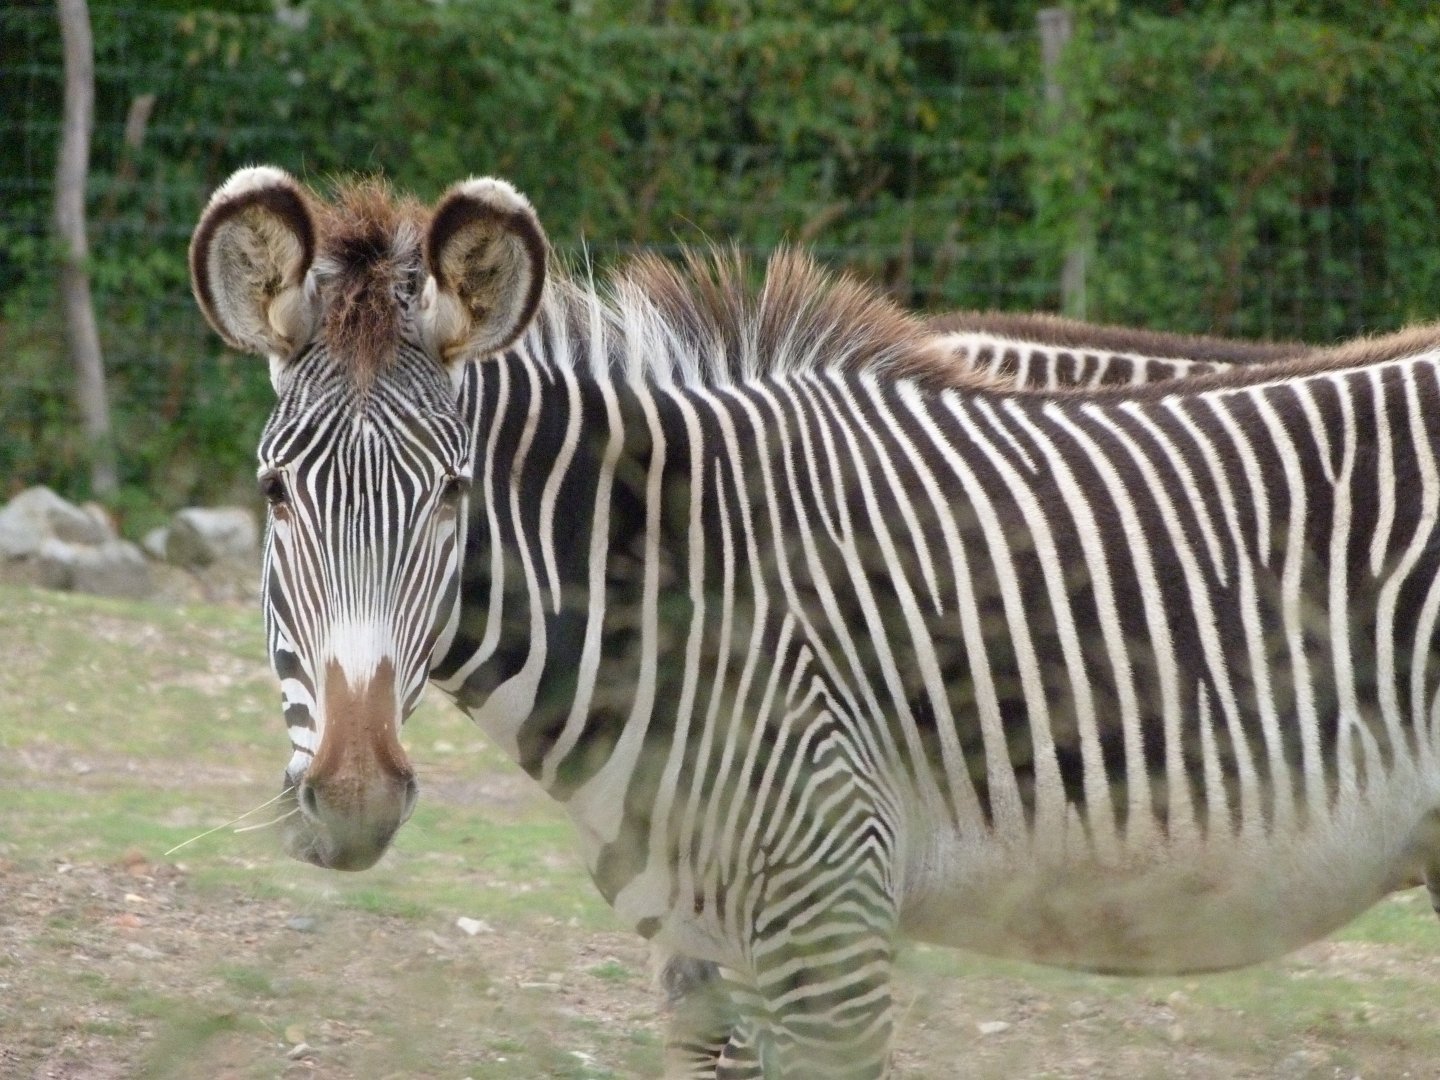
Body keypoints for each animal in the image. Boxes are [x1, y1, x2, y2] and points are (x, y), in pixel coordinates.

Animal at [191, 165, 1440, 1078]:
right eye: (275, 493)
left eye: (453, 494)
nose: (355, 797)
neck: (690, 592)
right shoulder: (699, 959)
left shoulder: (828, 932)